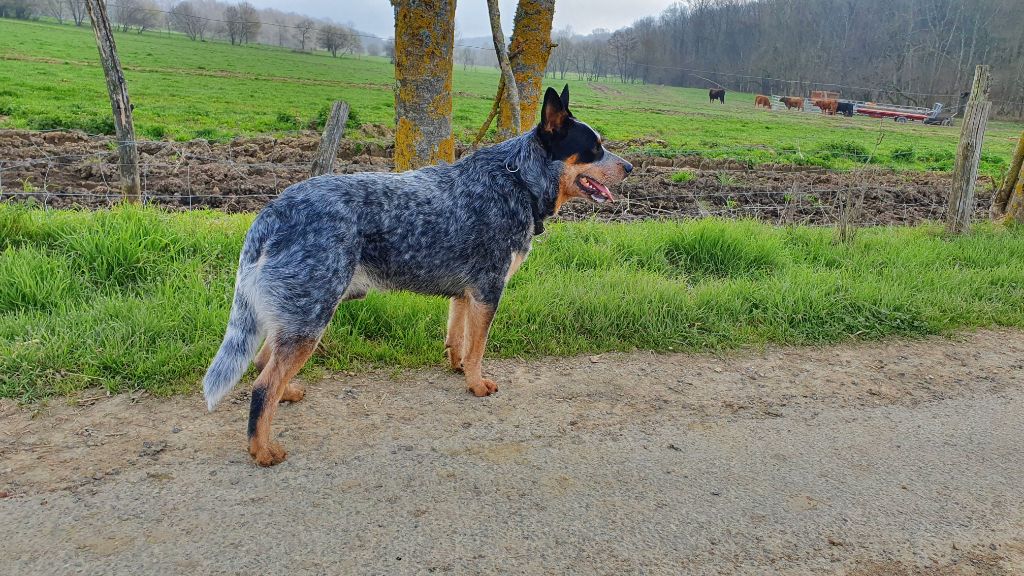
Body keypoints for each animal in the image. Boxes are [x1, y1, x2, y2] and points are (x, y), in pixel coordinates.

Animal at [201, 84, 630, 461]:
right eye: (594, 149)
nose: (628, 166)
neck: (518, 181)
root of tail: (272, 210)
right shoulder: (489, 289)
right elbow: (478, 347)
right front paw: (477, 384)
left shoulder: (466, 294)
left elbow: (459, 339)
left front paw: (459, 370)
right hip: (311, 315)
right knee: (262, 385)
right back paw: (263, 450)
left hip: (297, 314)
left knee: (263, 364)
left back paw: (288, 394)